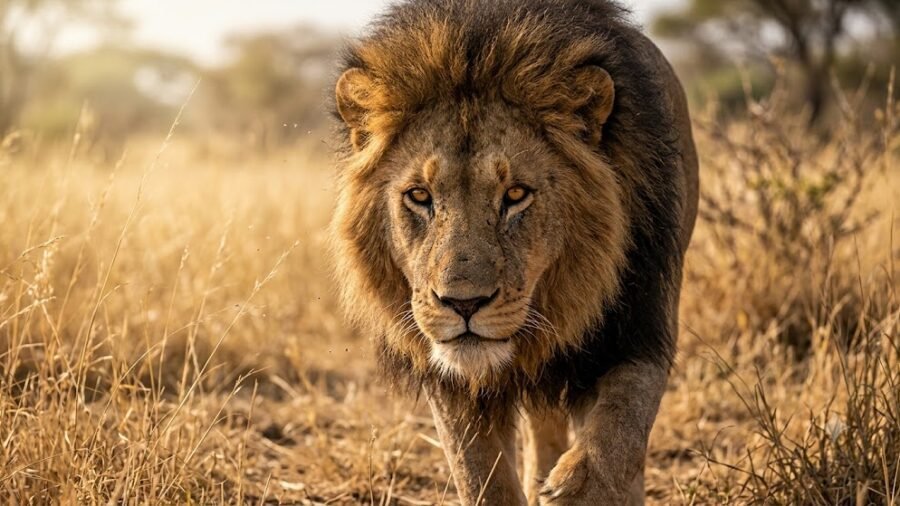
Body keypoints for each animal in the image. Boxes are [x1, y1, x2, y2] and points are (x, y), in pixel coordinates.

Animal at [330, 0, 699, 504]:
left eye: (517, 194)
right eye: (420, 196)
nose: (463, 304)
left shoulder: (640, 330)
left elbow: (620, 430)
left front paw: (578, 485)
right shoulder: (449, 377)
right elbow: (480, 475)